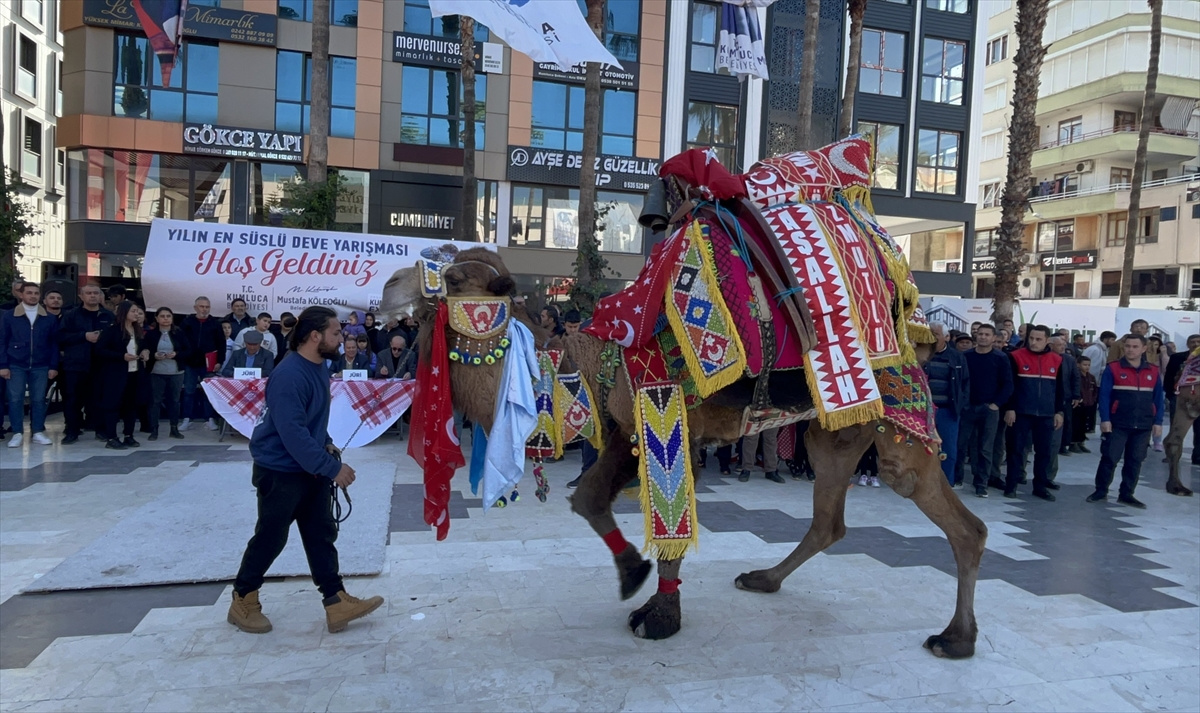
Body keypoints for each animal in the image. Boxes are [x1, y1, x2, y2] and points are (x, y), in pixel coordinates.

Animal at [388, 136, 988, 657]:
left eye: (453, 276)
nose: (390, 284)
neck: (597, 357)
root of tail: (912, 322)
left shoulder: (668, 408)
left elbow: (670, 516)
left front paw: (659, 616)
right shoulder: (626, 424)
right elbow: (589, 499)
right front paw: (632, 573)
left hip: (896, 411)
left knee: (956, 518)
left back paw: (955, 638)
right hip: (835, 428)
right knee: (830, 521)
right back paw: (763, 578)